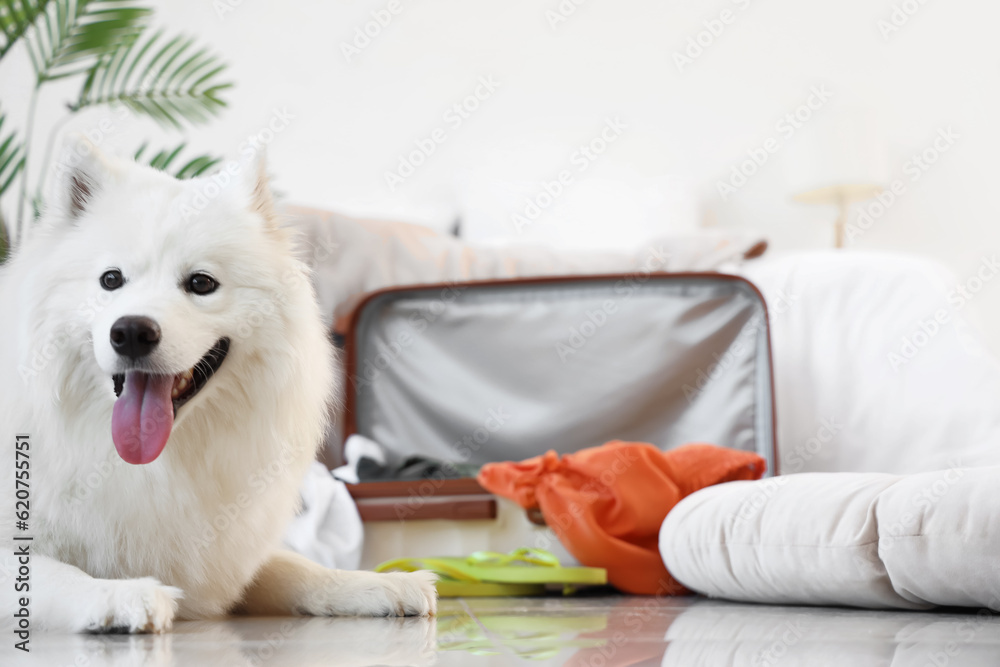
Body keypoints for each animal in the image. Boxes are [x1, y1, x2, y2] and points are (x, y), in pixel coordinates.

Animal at [0, 140, 438, 636]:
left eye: (201, 283)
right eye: (111, 279)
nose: (130, 332)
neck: (154, 465)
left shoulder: (226, 560)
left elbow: (294, 567)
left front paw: (378, 584)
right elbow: (52, 571)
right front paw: (118, 593)